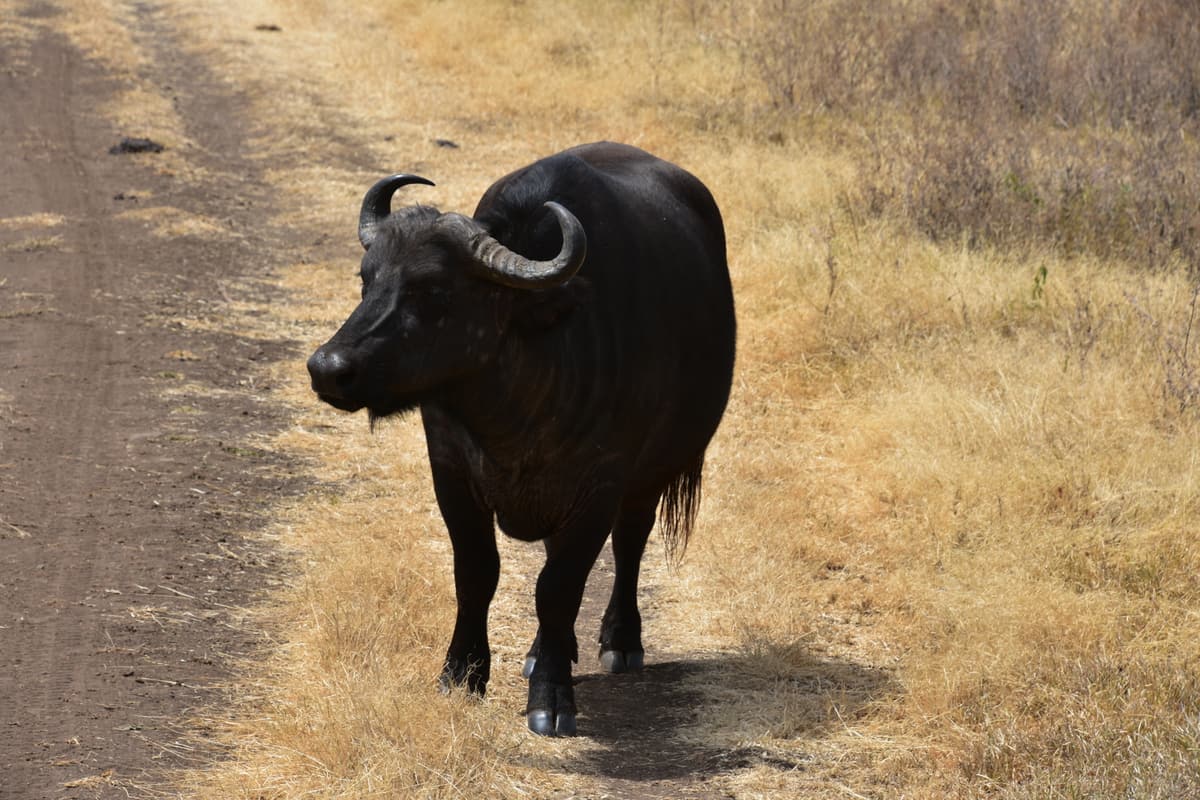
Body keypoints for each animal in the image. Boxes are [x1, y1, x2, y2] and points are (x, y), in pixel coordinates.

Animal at [307, 142, 736, 736]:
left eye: (434, 289)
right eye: (367, 278)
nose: (328, 369)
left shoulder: (600, 484)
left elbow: (558, 588)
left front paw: (551, 697)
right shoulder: (451, 470)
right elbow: (476, 572)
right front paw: (462, 674)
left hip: (651, 474)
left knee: (630, 543)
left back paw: (620, 640)